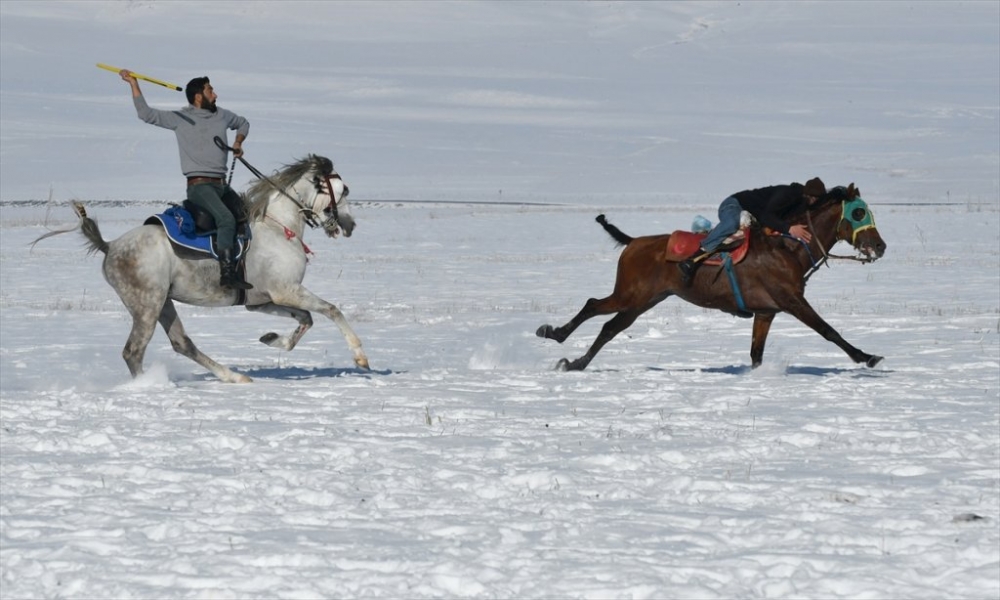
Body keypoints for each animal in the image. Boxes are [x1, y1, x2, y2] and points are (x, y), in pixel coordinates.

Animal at [44, 154, 368, 380]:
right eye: (344, 190)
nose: (350, 225)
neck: (278, 227)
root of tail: (110, 246)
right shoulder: (287, 290)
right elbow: (331, 310)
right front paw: (359, 356)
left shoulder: (263, 300)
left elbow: (306, 320)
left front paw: (271, 339)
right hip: (147, 305)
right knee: (134, 351)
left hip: (163, 303)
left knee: (181, 343)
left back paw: (233, 377)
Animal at [536, 183, 888, 370]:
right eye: (859, 213)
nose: (880, 246)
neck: (788, 246)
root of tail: (633, 242)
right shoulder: (791, 300)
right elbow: (828, 330)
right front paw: (867, 356)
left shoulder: (766, 312)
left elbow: (756, 353)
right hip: (631, 294)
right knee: (593, 305)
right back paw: (555, 335)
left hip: (643, 300)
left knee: (609, 326)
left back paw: (574, 360)